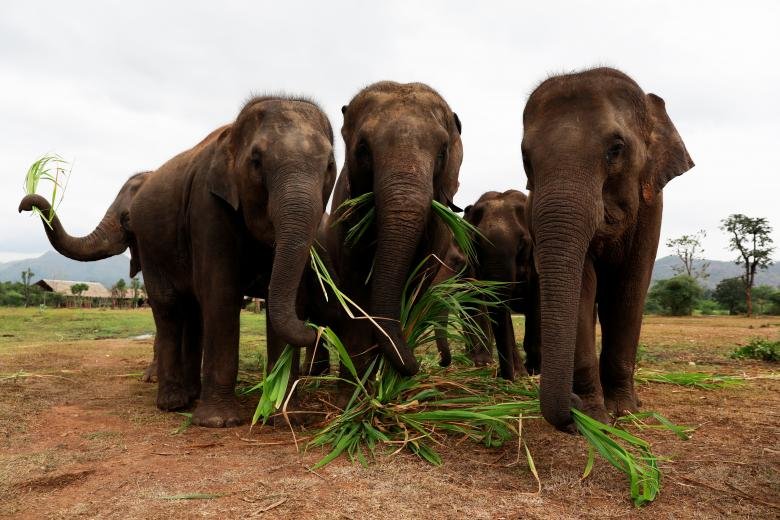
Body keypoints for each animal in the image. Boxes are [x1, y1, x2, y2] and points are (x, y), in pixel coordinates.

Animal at [19, 96, 336, 426]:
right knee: (169, 306)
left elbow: (282, 298)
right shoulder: (206, 206)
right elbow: (221, 294)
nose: (25, 205)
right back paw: (174, 402)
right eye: (256, 161)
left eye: (330, 165)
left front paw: (286, 418)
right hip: (154, 247)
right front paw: (217, 422)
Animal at [272, 81, 464, 388]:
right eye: (363, 149)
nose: (420, 366)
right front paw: (356, 391)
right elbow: (357, 290)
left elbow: (416, 287)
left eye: (443, 151)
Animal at [524, 68, 696, 430]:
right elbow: (582, 288)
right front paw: (594, 417)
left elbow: (628, 289)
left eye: (616, 149)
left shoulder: (651, 208)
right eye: (525, 159)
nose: (571, 407)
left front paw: (625, 411)